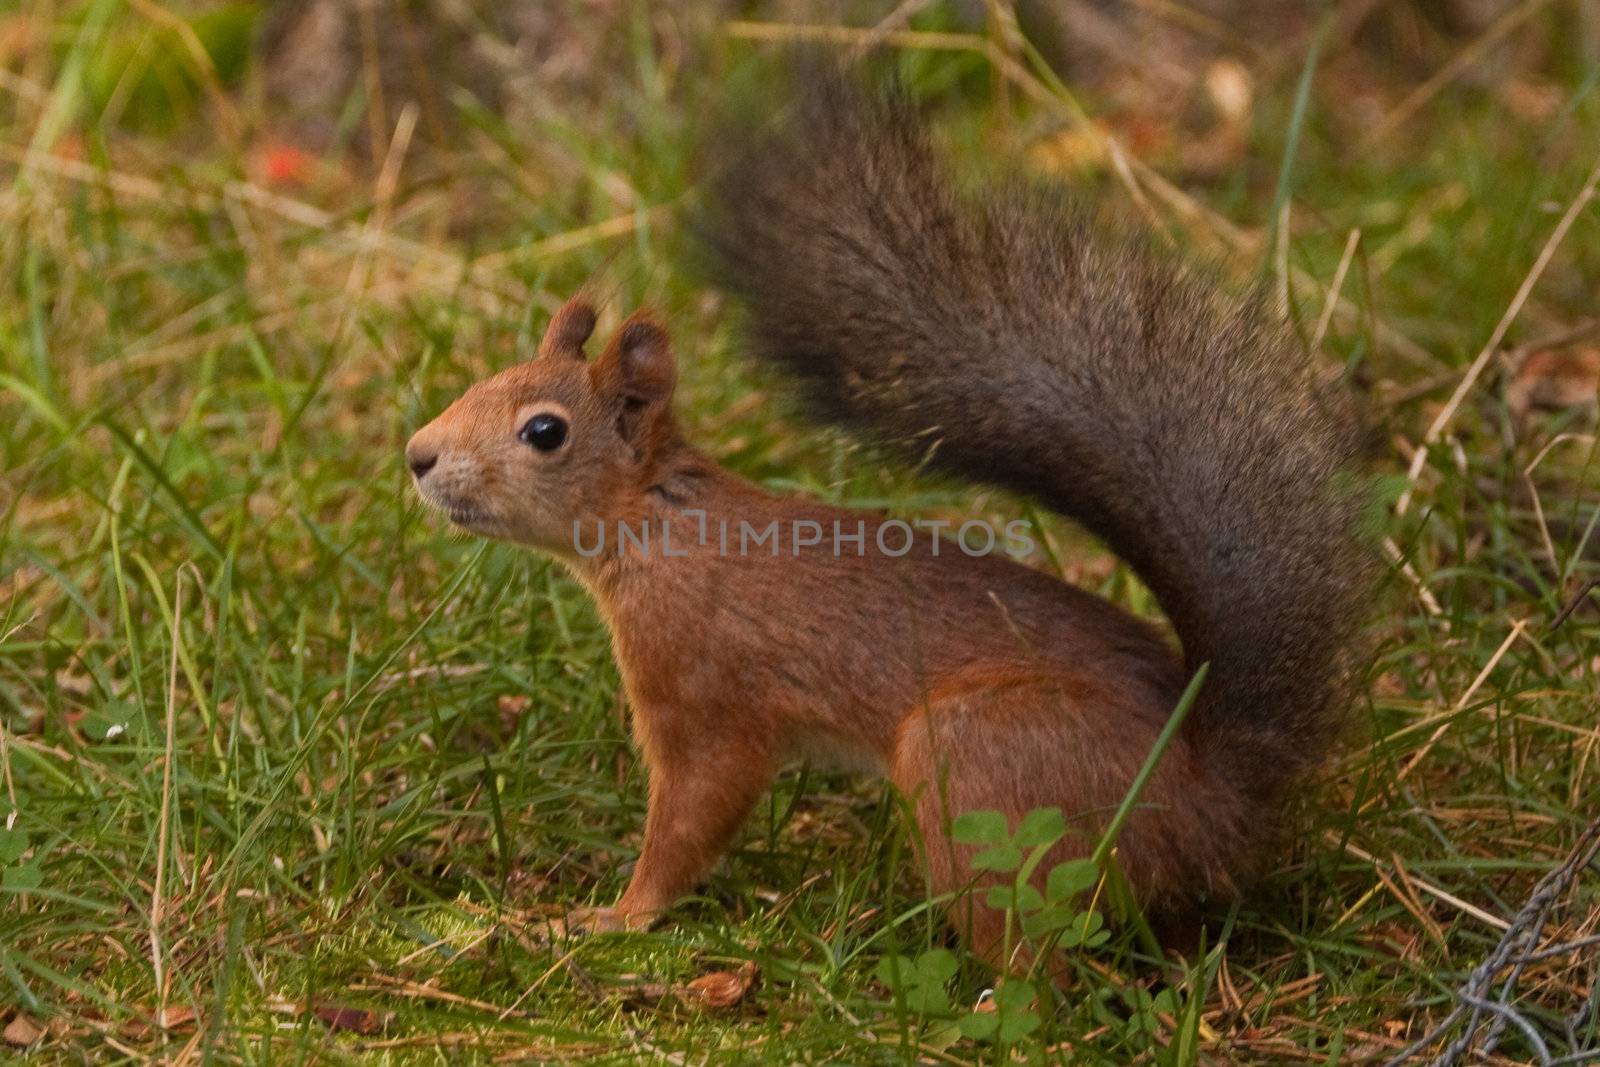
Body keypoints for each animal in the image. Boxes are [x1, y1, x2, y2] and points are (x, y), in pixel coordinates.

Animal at [403, 70, 1376, 966]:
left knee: (1036, 957)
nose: (417, 454)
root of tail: (1214, 798)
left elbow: (692, 812)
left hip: (981, 764)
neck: (656, 522)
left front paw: (615, 916)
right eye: (484, 380)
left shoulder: (705, 689)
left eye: (544, 431)